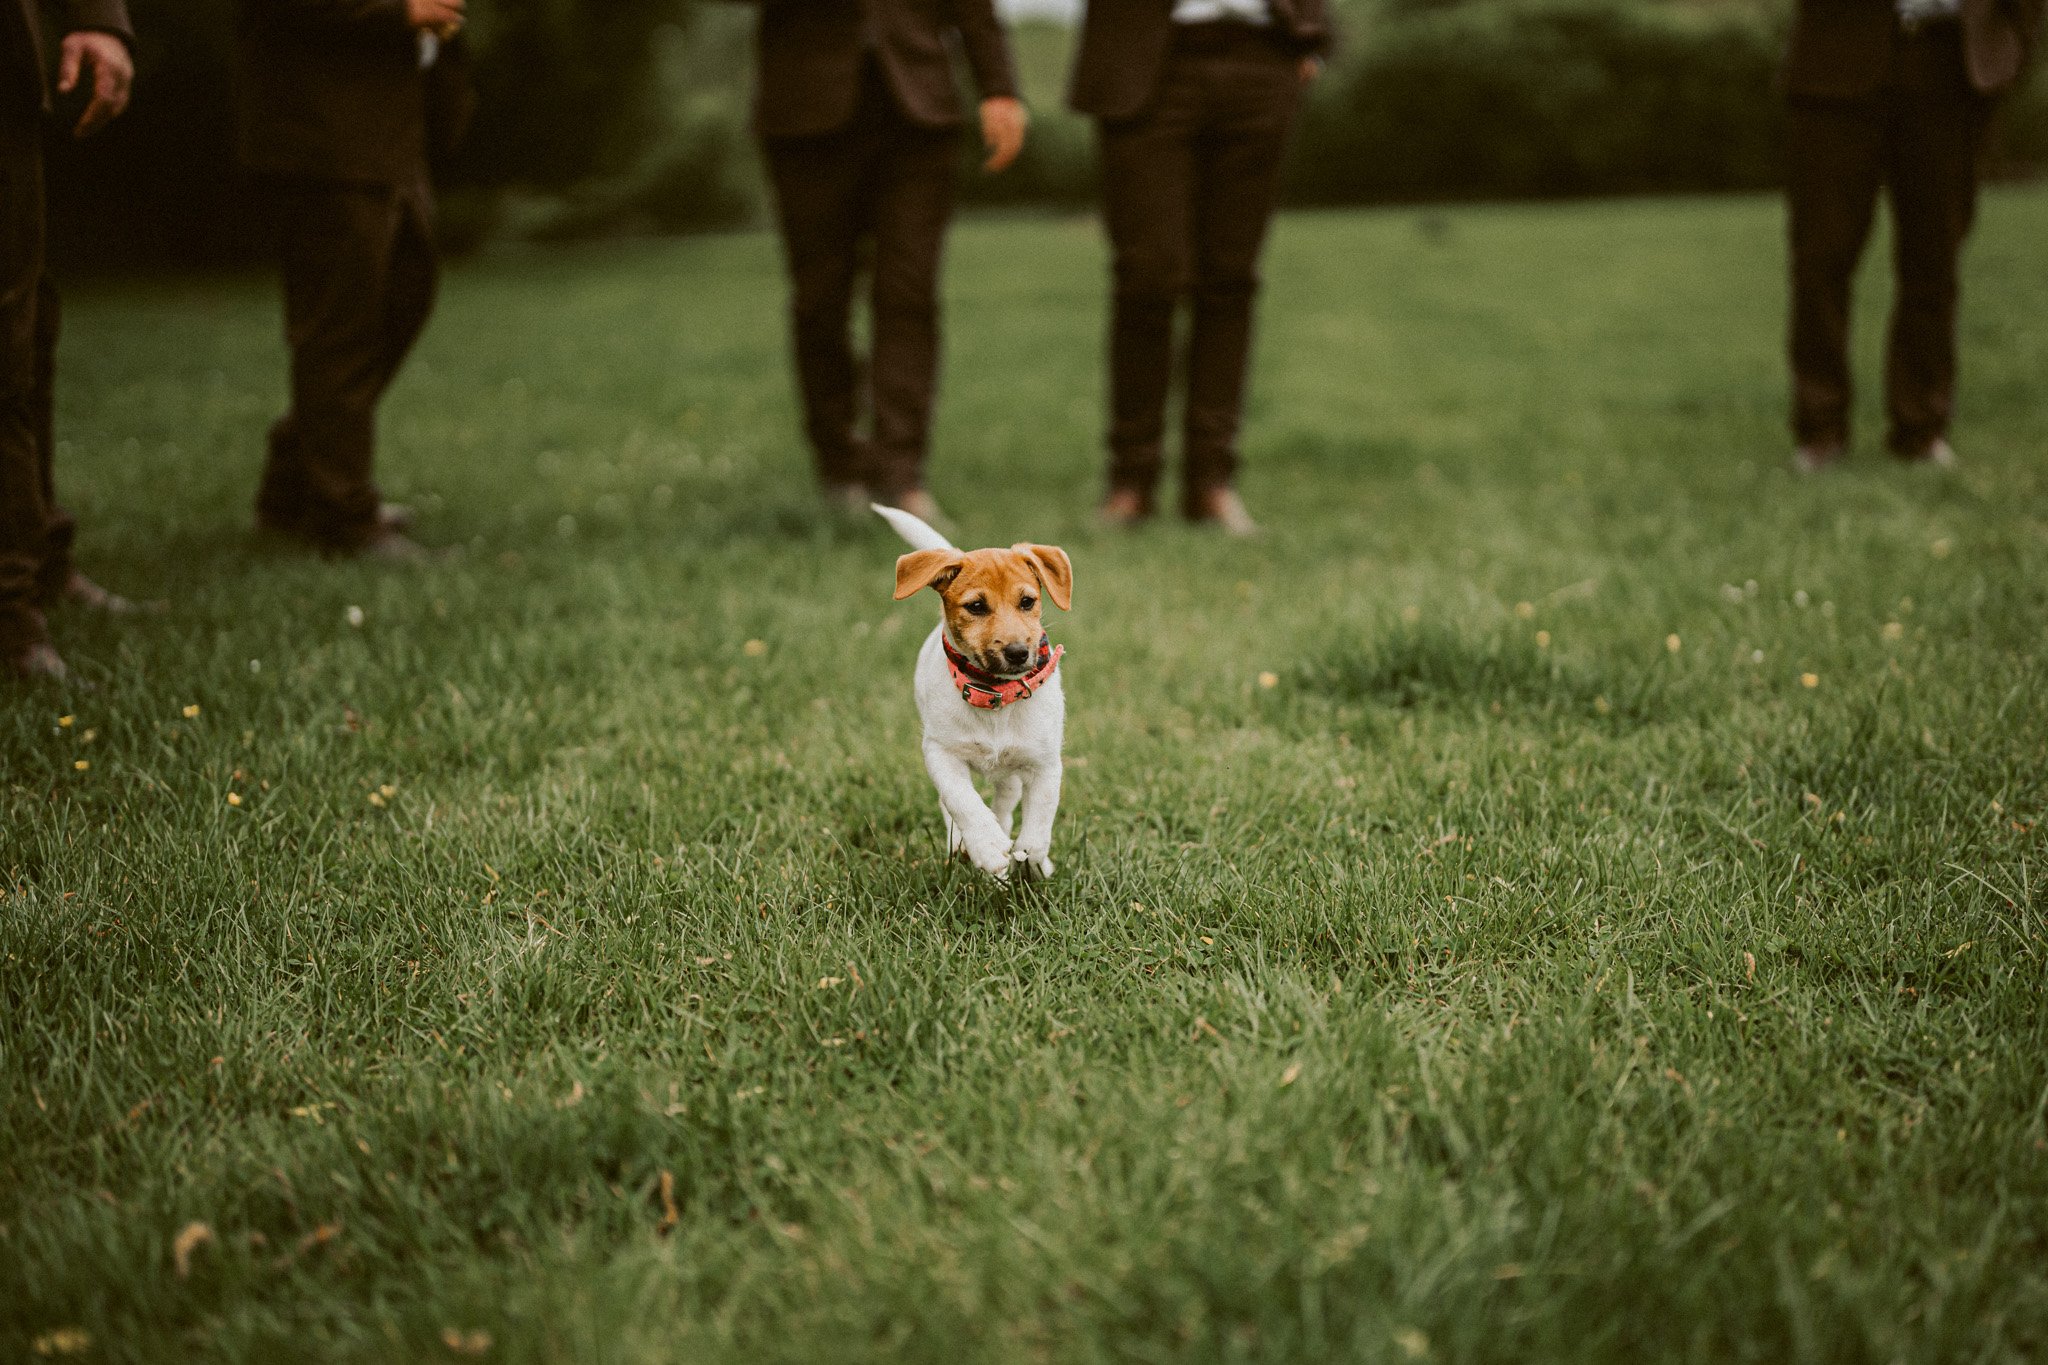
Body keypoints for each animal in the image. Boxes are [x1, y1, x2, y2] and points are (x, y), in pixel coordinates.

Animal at [876, 507, 1081, 879]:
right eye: (975, 607)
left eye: (1027, 602)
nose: (1017, 652)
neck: (996, 697)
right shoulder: (940, 752)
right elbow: (962, 800)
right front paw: (986, 847)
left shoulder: (1044, 762)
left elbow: (1040, 818)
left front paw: (1034, 859)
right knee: (953, 806)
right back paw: (964, 845)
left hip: (1013, 770)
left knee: (1006, 799)